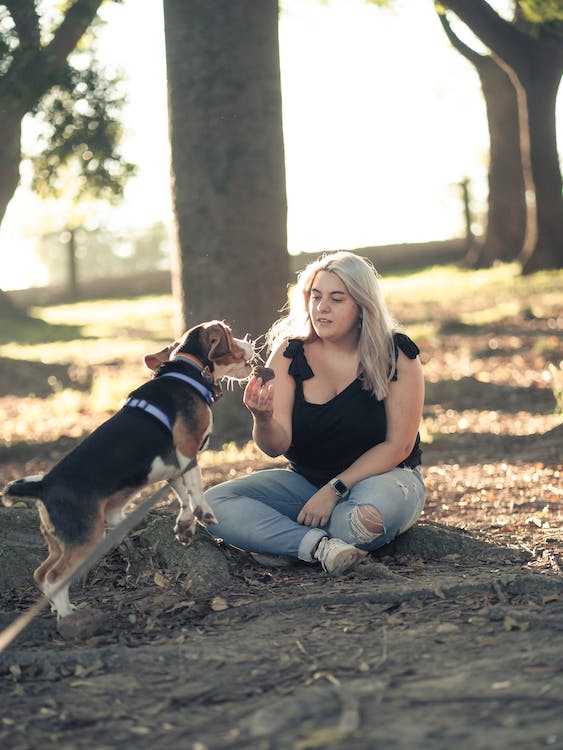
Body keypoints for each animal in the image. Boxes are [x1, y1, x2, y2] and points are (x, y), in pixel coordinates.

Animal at [3, 320, 254, 636]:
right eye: (230, 335)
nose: (251, 344)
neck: (188, 372)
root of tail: (43, 486)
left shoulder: (172, 465)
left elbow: (182, 494)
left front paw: (185, 526)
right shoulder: (187, 448)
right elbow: (195, 485)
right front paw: (203, 512)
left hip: (61, 541)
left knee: (41, 573)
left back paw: (61, 608)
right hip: (86, 538)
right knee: (53, 576)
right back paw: (67, 616)